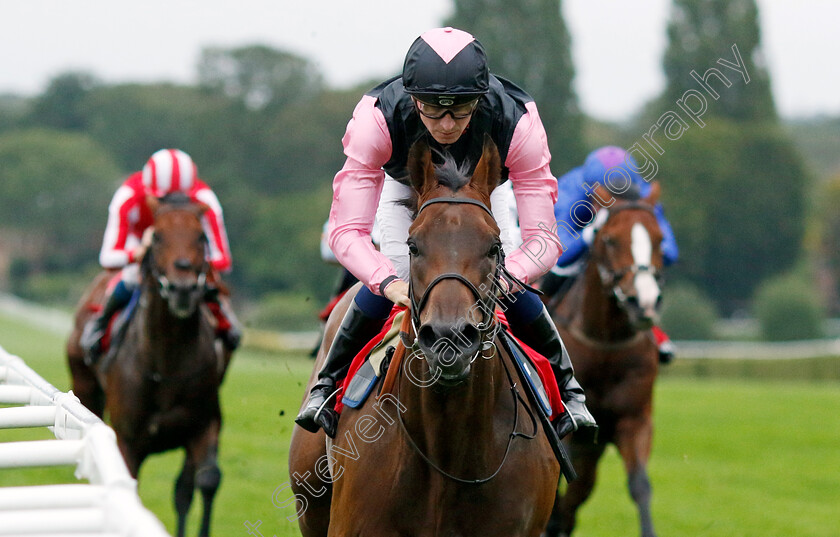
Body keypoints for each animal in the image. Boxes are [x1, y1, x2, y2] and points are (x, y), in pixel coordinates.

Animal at [67, 194, 228, 536]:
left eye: (202, 236)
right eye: (157, 237)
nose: (183, 288)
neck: (167, 363)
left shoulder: (204, 424)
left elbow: (204, 481)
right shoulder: (127, 440)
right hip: (84, 386)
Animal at [544, 185, 668, 536]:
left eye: (659, 240)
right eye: (610, 239)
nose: (643, 303)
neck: (604, 344)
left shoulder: (634, 418)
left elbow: (640, 485)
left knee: (577, 496)